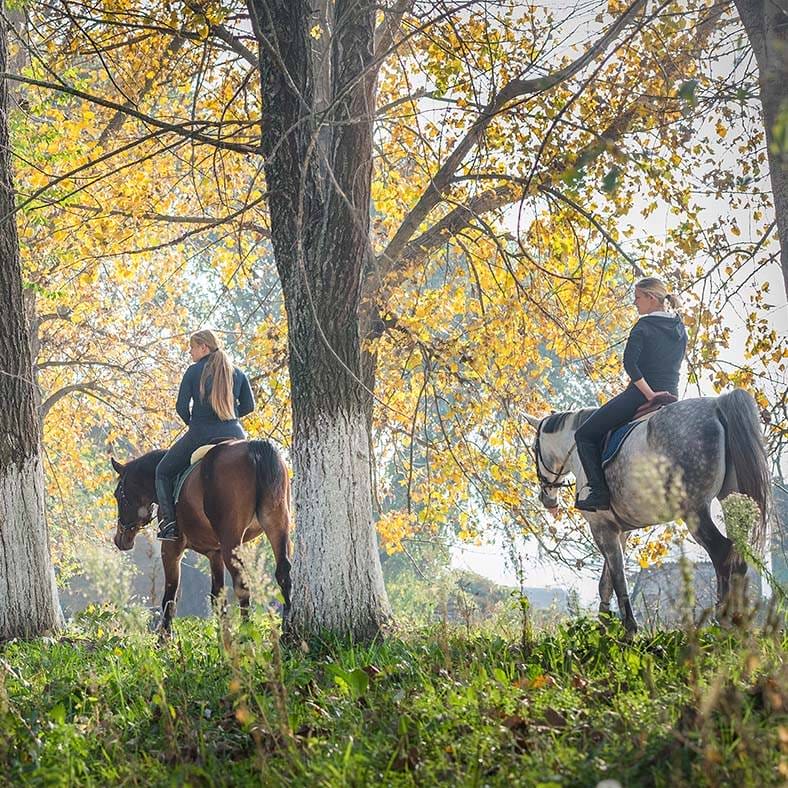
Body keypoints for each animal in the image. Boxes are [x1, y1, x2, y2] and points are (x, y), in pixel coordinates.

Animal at [111, 440, 292, 632]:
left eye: (117, 495)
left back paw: (247, 631)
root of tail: (253, 448)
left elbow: (170, 596)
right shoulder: (215, 553)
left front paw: (164, 636)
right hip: (277, 526)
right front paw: (223, 635)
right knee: (283, 573)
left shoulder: (171, 548)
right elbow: (217, 598)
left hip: (231, 543)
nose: (119, 540)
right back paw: (286, 630)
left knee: (242, 585)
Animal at [528, 390, 772, 636]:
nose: (547, 499)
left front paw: (628, 628)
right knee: (738, 558)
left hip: (695, 510)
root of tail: (716, 405)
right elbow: (607, 581)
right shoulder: (619, 530)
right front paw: (604, 625)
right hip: (733, 501)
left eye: (533, 449)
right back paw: (738, 623)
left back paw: (721, 622)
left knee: (722, 553)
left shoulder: (601, 527)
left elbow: (618, 576)